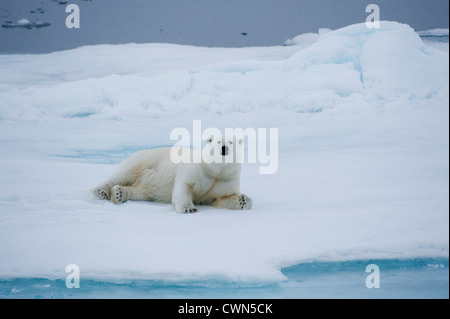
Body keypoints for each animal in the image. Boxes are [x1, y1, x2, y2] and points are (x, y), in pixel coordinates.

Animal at [91, 136, 253, 214]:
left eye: (231, 142)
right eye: (218, 141)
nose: (224, 148)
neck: (216, 169)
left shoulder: (226, 178)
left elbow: (222, 198)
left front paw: (243, 200)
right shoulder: (197, 169)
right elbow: (184, 185)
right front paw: (189, 208)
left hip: (150, 186)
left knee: (142, 192)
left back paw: (119, 193)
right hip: (146, 160)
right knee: (124, 173)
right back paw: (101, 191)